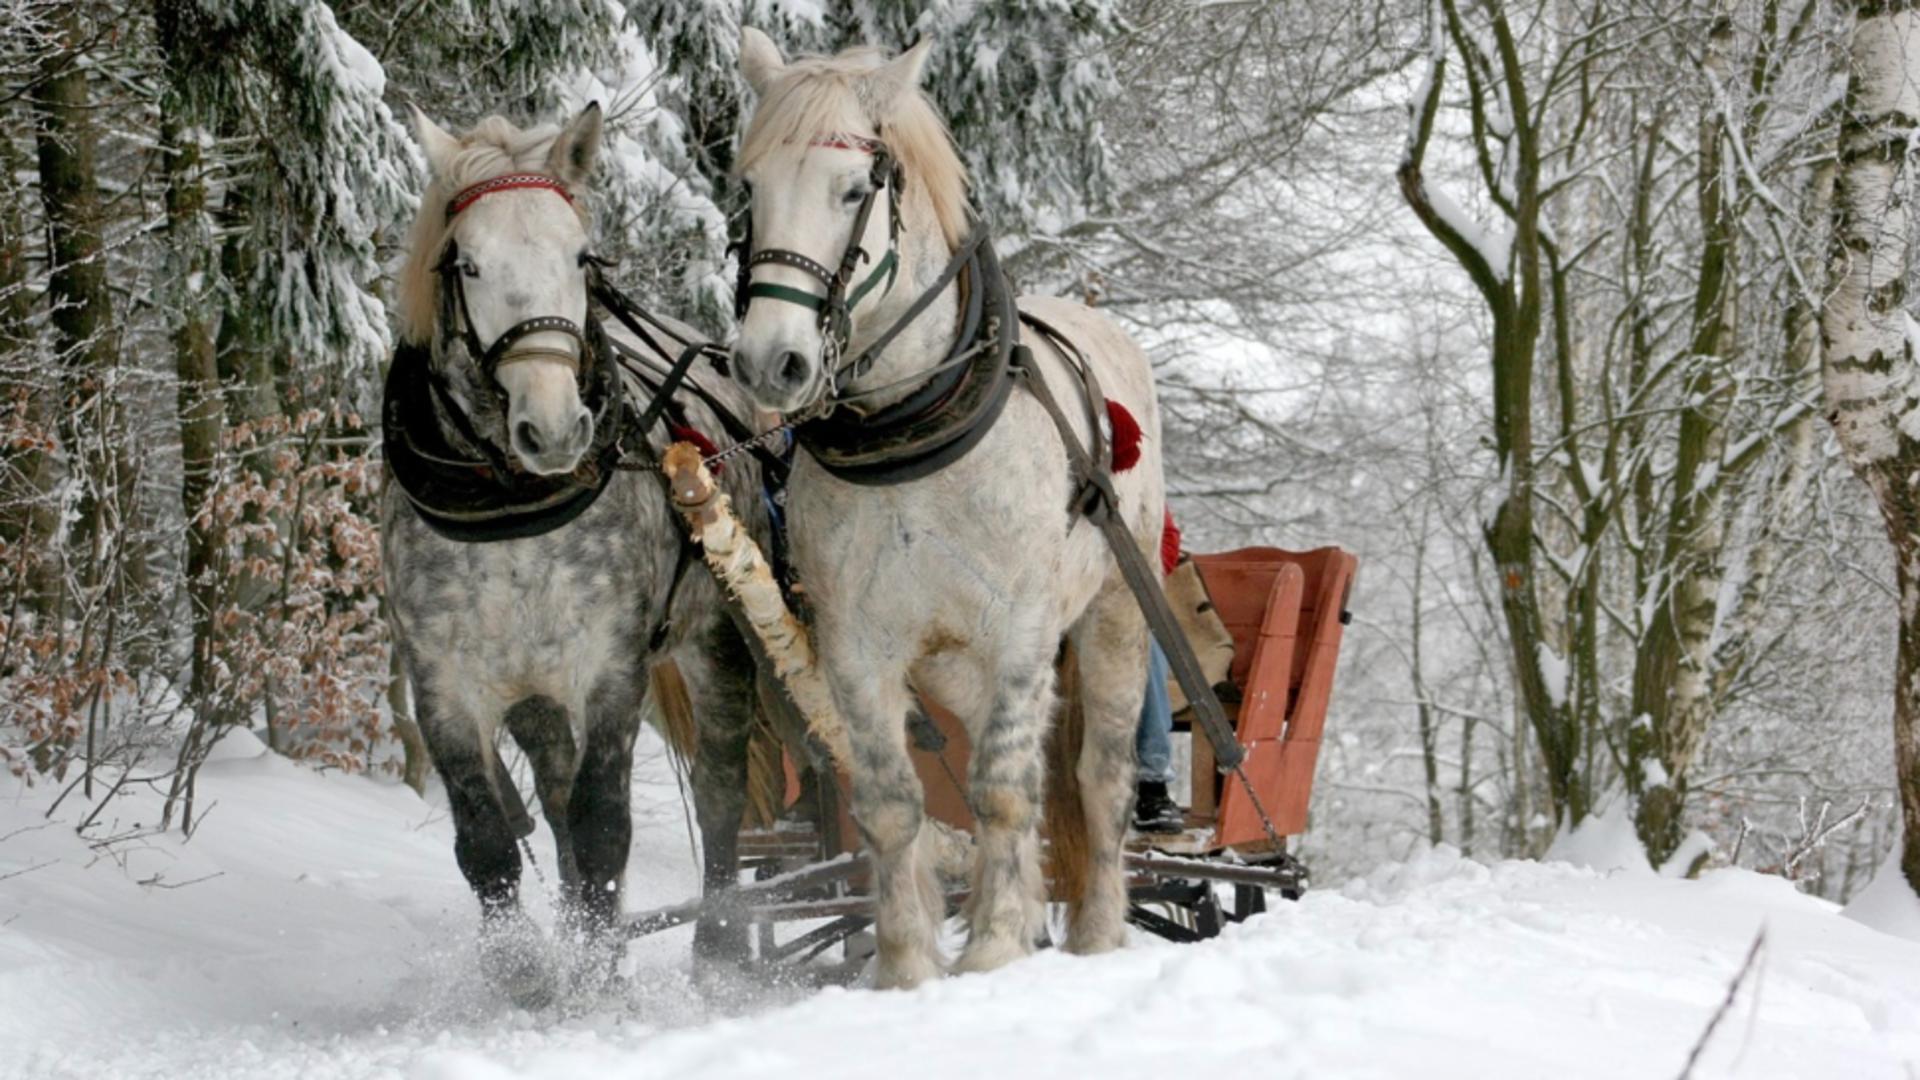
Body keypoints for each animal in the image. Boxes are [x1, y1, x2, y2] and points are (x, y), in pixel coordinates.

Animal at [725, 29, 1159, 983]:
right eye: (750, 189)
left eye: (854, 189)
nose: (771, 363)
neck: (912, 432)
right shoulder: (857, 645)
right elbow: (893, 803)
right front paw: (907, 966)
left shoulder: (1023, 630)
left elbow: (1001, 789)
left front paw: (994, 948)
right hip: (954, 662)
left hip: (1112, 616)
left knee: (1096, 778)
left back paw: (1098, 932)